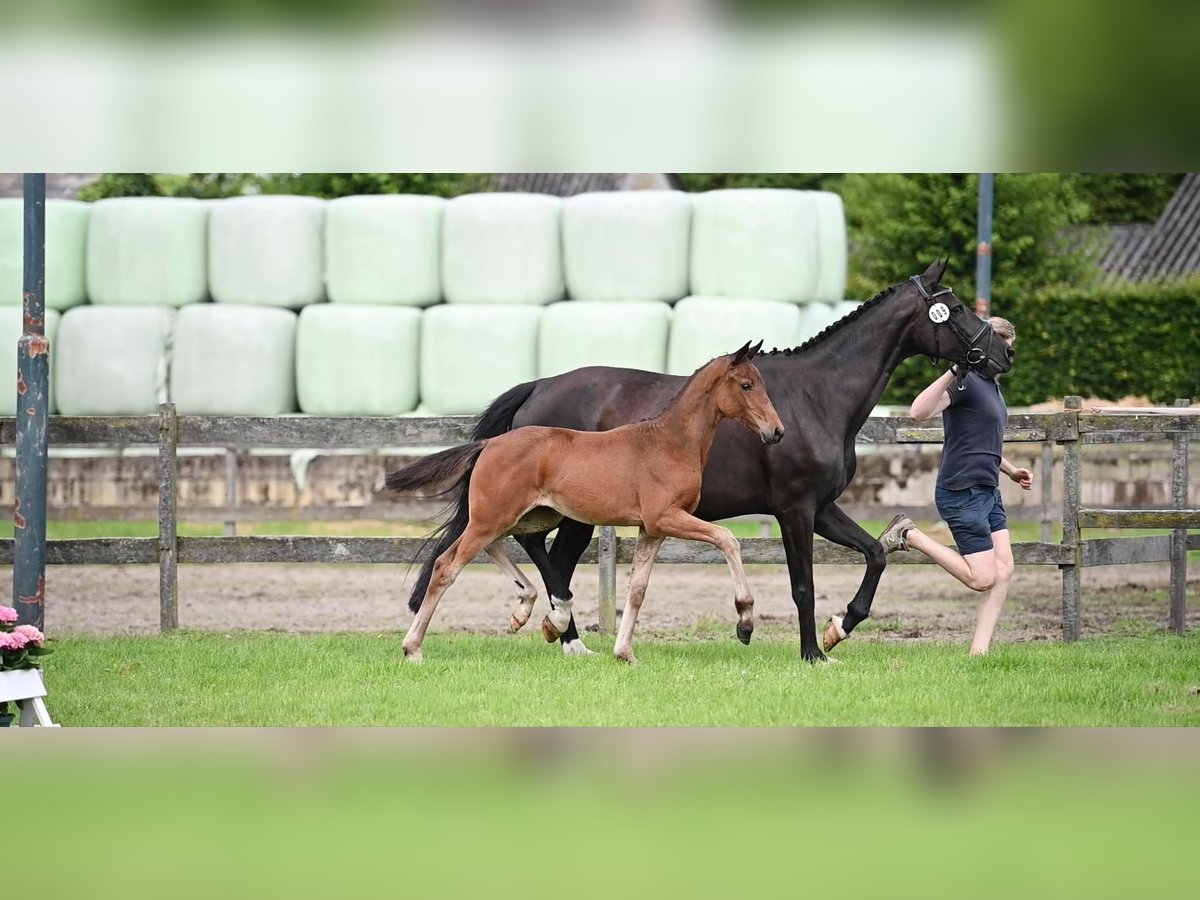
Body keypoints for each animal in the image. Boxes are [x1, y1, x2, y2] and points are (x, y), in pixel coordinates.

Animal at [388, 340, 787, 667]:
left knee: (499, 546)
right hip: (493, 517)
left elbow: (637, 590)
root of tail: (489, 444)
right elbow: (727, 539)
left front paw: (625, 654)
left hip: (525, 517)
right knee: (447, 565)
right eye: (747, 385)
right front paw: (745, 622)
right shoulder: (667, 517)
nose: (777, 431)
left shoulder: (651, 529)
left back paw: (527, 610)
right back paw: (413, 648)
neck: (669, 443)